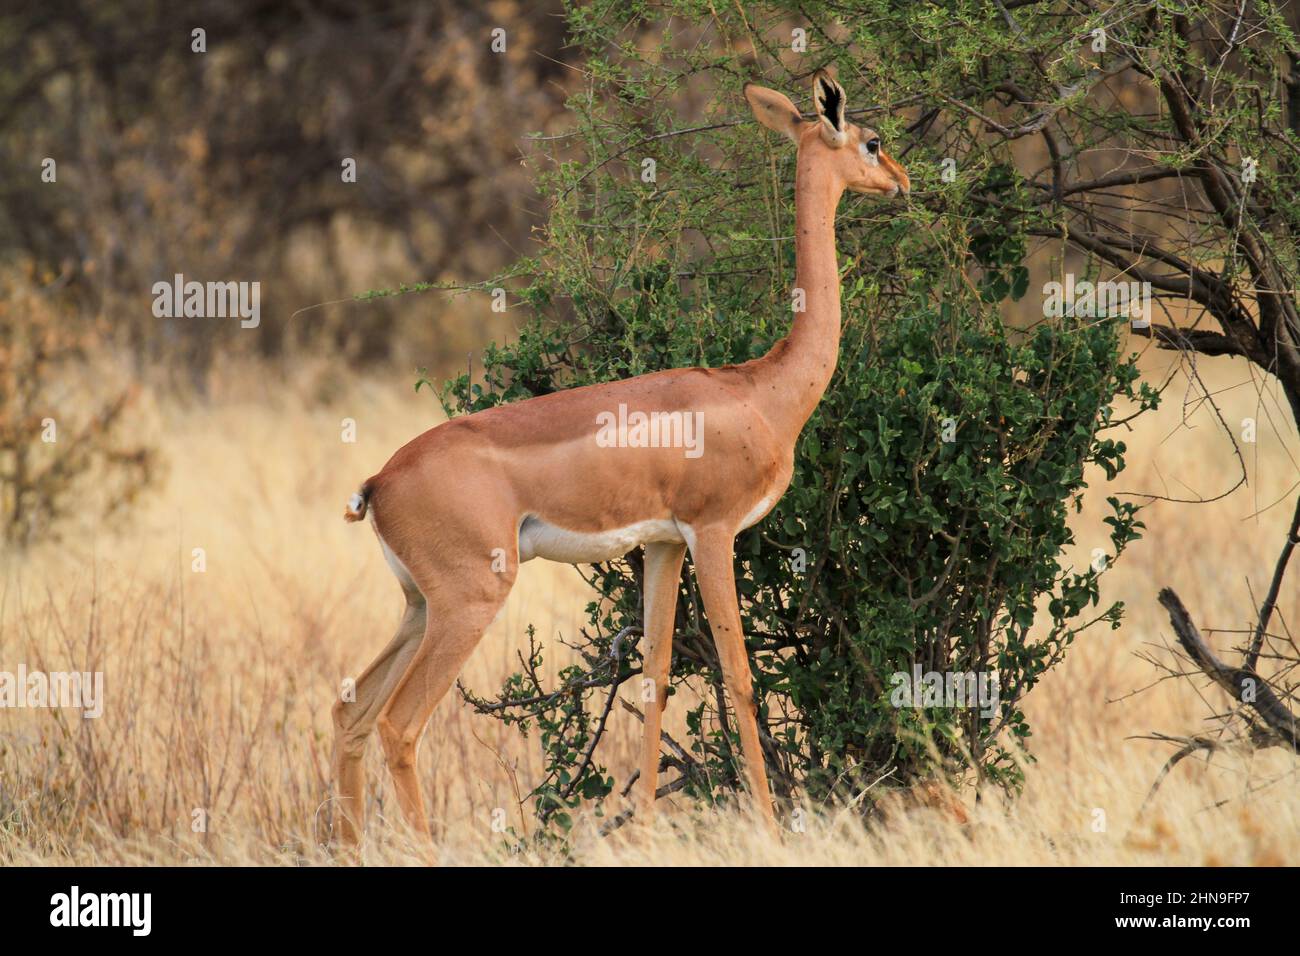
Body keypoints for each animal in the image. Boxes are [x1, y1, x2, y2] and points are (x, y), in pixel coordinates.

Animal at [330, 70, 909, 848]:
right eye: (871, 140)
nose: (901, 182)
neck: (761, 390)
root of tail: (379, 482)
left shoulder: (664, 544)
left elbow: (657, 675)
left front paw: (646, 831)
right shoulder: (714, 533)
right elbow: (739, 676)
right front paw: (768, 829)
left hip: (417, 606)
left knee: (350, 713)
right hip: (469, 601)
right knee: (398, 726)